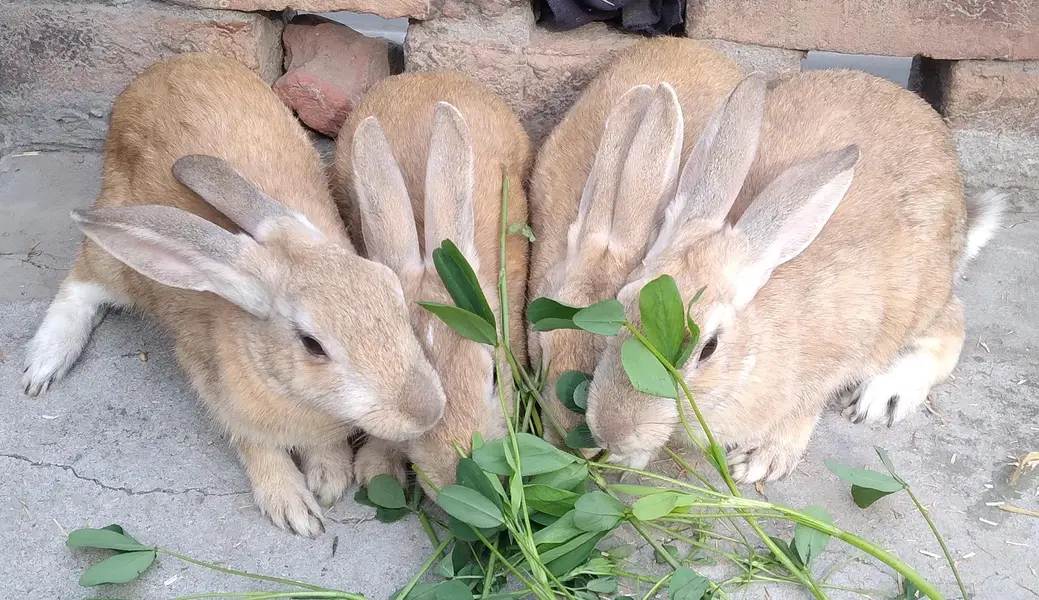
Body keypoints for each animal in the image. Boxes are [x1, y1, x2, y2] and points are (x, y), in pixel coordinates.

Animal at [20, 53, 446, 536]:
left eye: (395, 301)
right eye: (312, 345)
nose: (427, 411)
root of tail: (159, 71)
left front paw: (328, 478)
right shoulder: (217, 391)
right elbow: (256, 445)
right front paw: (295, 508)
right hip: (118, 258)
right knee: (83, 279)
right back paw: (44, 364)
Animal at [585, 69, 1005, 483]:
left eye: (709, 348)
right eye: (623, 302)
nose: (611, 430)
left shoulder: (840, 350)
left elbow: (805, 407)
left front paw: (761, 460)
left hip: (920, 297)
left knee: (951, 328)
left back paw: (883, 395)